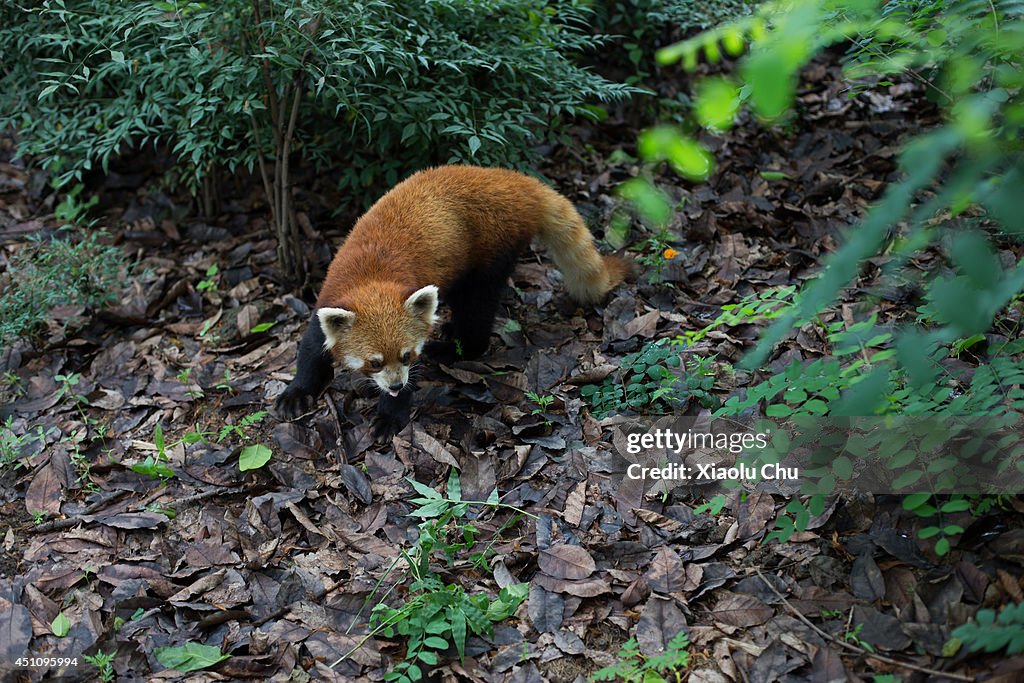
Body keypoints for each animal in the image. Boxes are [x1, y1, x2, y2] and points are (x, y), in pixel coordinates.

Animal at [276, 165, 634, 438]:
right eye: (374, 363)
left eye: (407, 356)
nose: (395, 385)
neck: (371, 279)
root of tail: (511, 181)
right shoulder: (330, 293)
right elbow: (311, 348)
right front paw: (297, 392)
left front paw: (390, 415)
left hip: (491, 246)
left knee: (477, 307)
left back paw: (455, 347)